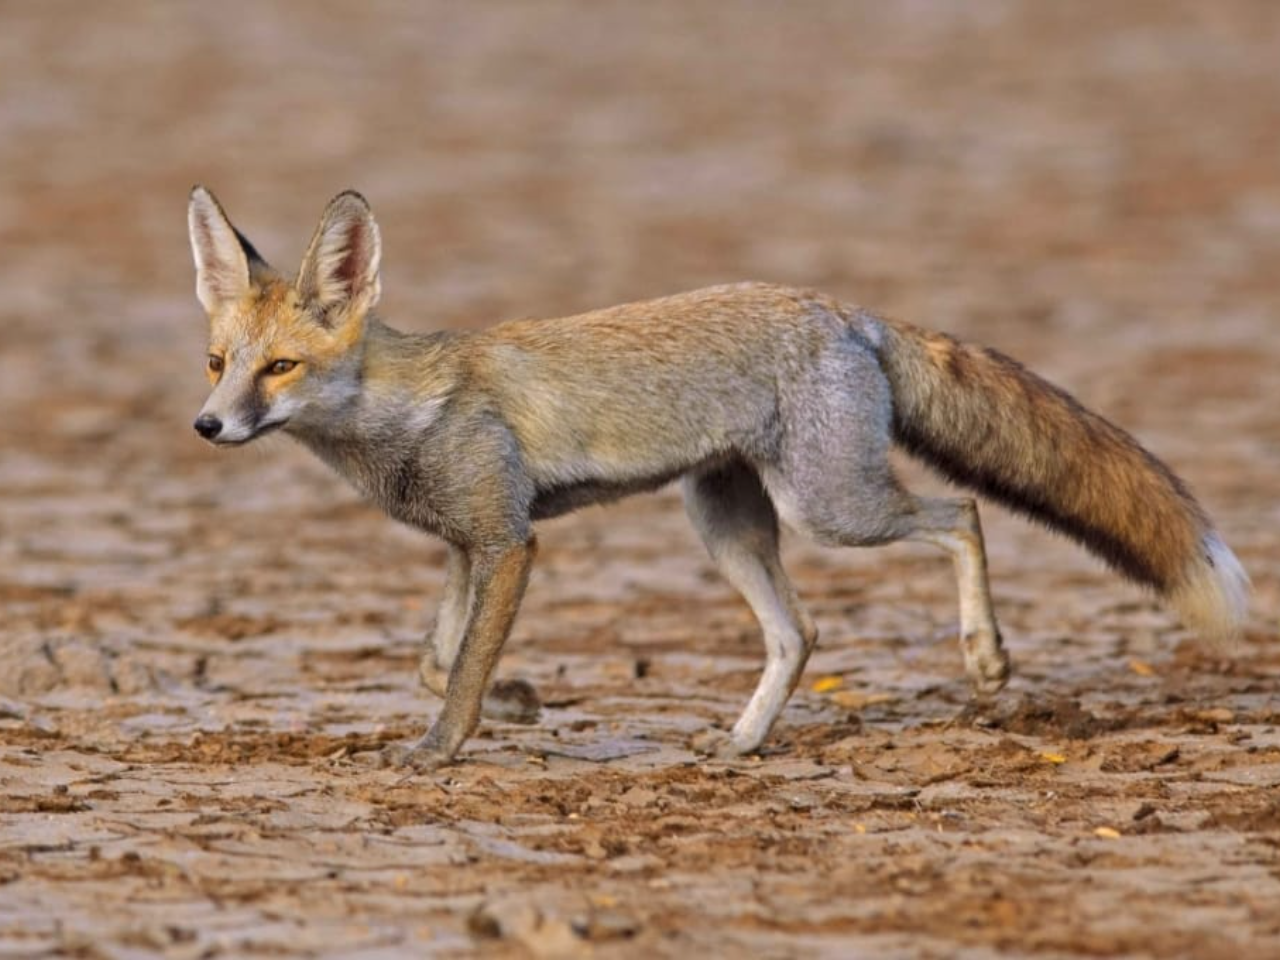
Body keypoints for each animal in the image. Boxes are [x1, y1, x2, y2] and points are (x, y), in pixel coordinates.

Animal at [187, 186, 1248, 772]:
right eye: (217, 363)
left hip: (832, 508)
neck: (404, 413)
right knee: (801, 631)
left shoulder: (510, 540)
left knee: (961, 513)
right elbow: (433, 659)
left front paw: (444, 750)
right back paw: (744, 744)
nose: (207, 425)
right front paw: (522, 700)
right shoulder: (465, 544)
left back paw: (986, 658)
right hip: (726, 523)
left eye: (279, 369)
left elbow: (458, 676)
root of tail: (843, 308)